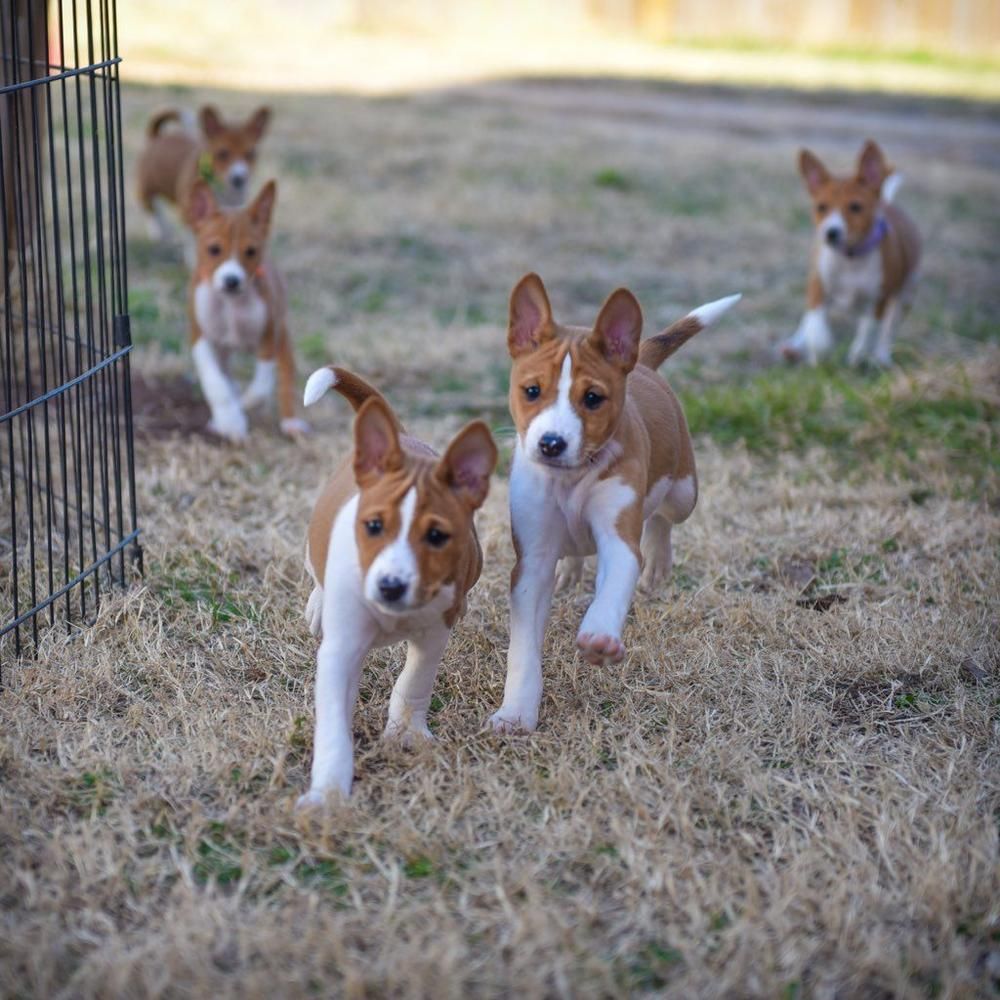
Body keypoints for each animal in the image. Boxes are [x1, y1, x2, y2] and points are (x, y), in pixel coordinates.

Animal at [137, 104, 272, 241]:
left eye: (251, 154)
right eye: (222, 153)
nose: (239, 179)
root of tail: (157, 137)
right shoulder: (190, 216)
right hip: (145, 191)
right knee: (152, 212)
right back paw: (160, 232)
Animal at [186, 179, 306, 442]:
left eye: (251, 251)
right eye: (214, 249)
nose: (232, 280)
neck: (231, 304)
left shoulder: (269, 335)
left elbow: (262, 386)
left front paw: (245, 403)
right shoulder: (200, 337)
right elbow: (216, 383)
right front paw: (229, 421)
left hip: (283, 338)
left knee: (285, 378)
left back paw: (291, 422)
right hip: (224, 351)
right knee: (227, 377)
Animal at [296, 368, 500, 804]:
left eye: (437, 536)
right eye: (373, 526)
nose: (391, 586)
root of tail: (402, 438)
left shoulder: (434, 632)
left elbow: (414, 681)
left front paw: (406, 733)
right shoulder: (341, 649)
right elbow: (333, 725)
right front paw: (327, 794)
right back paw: (318, 605)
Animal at [488, 274, 740, 736]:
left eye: (592, 398)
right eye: (531, 390)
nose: (552, 443)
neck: (570, 480)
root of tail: (643, 363)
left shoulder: (619, 537)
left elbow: (614, 586)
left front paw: (600, 637)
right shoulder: (531, 559)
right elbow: (524, 648)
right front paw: (515, 712)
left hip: (684, 491)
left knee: (663, 519)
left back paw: (657, 564)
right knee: (575, 550)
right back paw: (570, 573)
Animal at [780, 140, 920, 368]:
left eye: (855, 207)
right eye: (821, 207)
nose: (831, 233)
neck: (850, 259)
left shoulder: (878, 301)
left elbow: (869, 330)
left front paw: (857, 355)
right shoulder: (817, 287)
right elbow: (816, 328)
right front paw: (819, 354)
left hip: (905, 296)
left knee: (887, 331)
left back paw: (881, 357)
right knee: (807, 322)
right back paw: (795, 345)